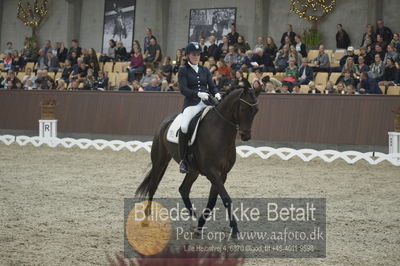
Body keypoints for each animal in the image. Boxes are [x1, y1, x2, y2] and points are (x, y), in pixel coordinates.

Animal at [135, 87, 260, 237]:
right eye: (243, 108)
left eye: (256, 110)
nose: (246, 136)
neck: (220, 132)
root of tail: (165, 122)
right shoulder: (212, 172)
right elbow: (226, 198)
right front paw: (235, 230)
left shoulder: (222, 174)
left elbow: (212, 201)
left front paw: (200, 225)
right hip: (160, 161)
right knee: (153, 186)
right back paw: (146, 220)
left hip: (193, 170)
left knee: (183, 189)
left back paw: (193, 219)